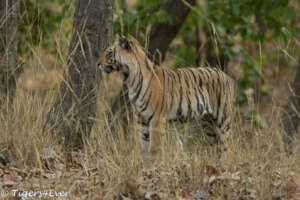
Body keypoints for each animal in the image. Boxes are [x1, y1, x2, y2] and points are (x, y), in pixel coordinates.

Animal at [98, 34, 237, 162]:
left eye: (109, 52)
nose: (98, 64)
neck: (130, 78)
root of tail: (226, 75)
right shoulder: (142, 120)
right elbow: (145, 149)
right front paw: (146, 169)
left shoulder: (156, 119)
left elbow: (155, 149)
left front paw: (155, 169)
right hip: (208, 123)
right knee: (216, 148)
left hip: (223, 120)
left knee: (226, 148)